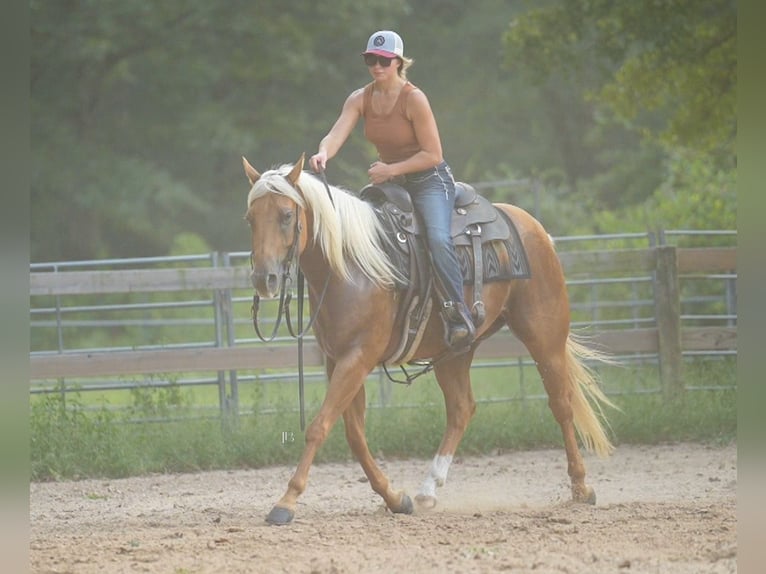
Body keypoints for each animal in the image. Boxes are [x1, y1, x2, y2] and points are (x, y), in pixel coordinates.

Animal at [242, 153, 616, 525]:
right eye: (250, 218)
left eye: (286, 215)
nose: (264, 279)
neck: (351, 267)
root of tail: (532, 226)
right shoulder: (339, 360)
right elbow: (355, 435)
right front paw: (396, 498)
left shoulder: (358, 357)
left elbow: (319, 426)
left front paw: (286, 502)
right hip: (457, 350)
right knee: (462, 408)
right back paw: (427, 490)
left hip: (545, 337)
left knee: (562, 403)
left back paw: (581, 487)